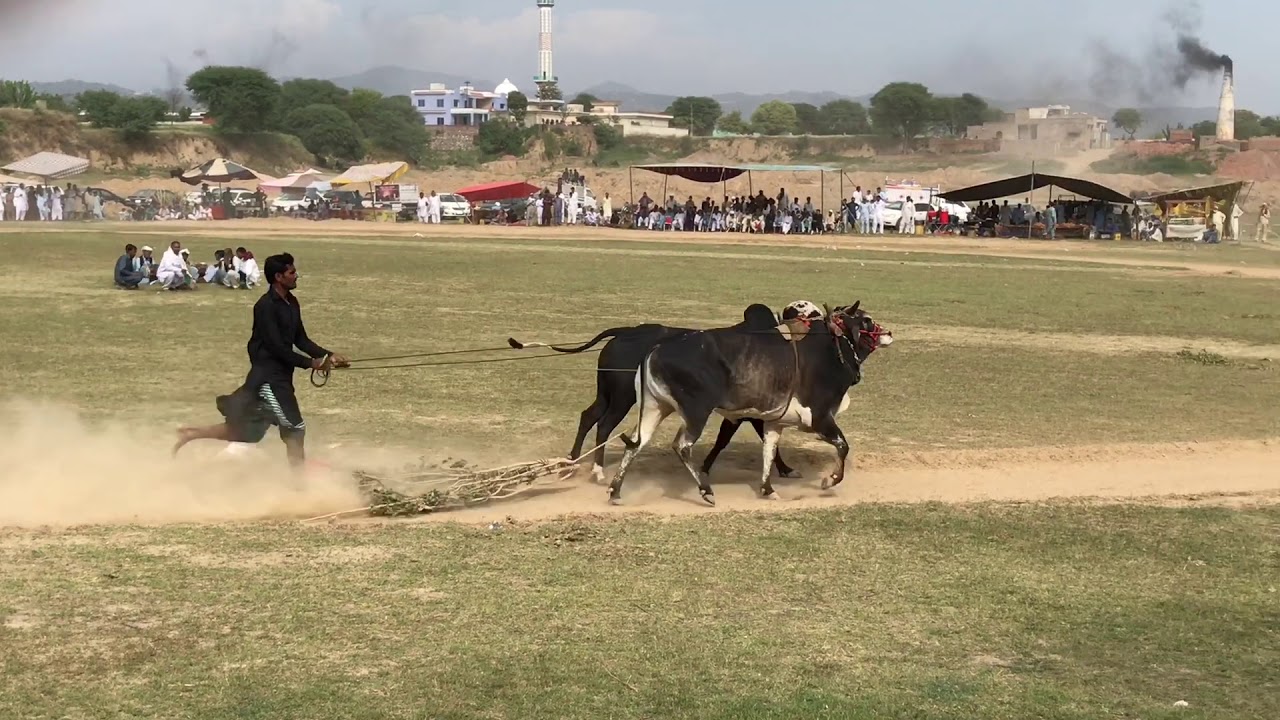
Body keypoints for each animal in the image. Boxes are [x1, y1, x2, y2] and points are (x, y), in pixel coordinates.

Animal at [507, 301, 826, 484]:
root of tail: (624, 332)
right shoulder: (752, 411)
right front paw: (784, 469)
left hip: (607, 392)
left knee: (589, 416)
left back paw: (571, 463)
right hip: (623, 397)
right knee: (605, 424)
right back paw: (596, 470)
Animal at [607, 301, 891, 506]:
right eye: (866, 320)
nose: (888, 332)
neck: (832, 349)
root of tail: (657, 348)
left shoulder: (775, 423)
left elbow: (769, 452)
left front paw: (767, 489)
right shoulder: (820, 417)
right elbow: (843, 446)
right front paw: (829, 481)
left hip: (655, 408)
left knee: (635, 444)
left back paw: (615, 491)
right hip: (696, 412)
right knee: (682, 446)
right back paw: (706, 491)